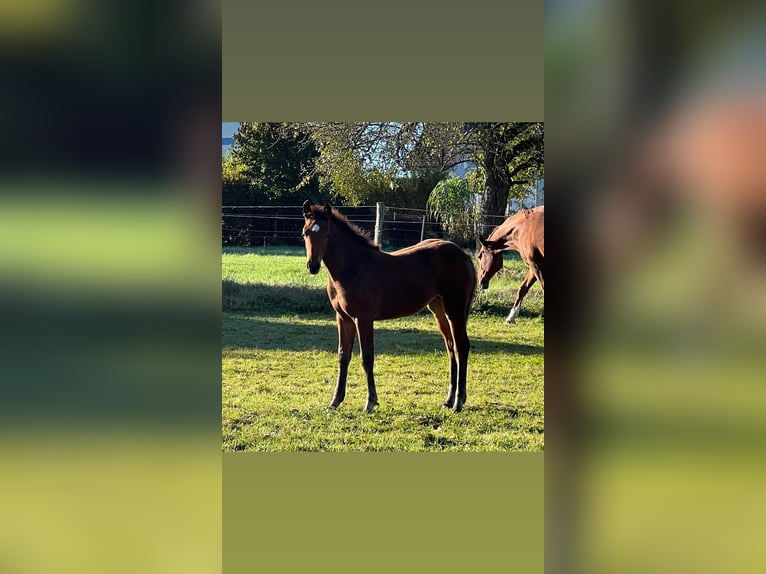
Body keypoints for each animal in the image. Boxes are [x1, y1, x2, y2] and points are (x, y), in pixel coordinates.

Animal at [304, 202, 476, 414]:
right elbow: (343, 356)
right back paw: (449, 400)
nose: (312, 266)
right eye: (305, 233)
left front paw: (370, 402)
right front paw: (335, 401)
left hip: (455, 308)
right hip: (439, 309)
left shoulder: (363, 318)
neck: (354, 268)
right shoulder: (343, 318)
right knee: (451, 347)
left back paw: (458, 402)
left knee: (461, 347)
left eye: (327, 233)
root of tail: (464, 255)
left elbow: (367, 358)